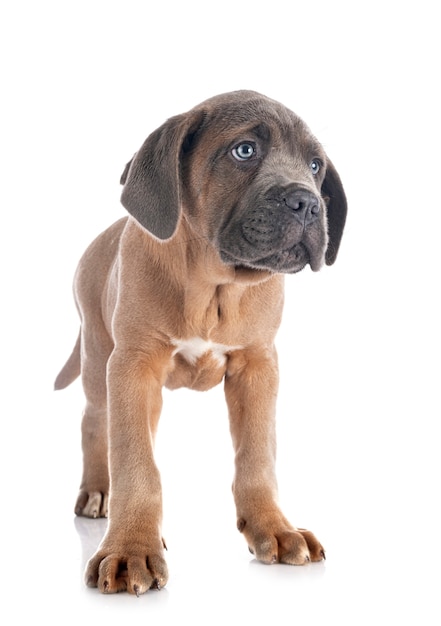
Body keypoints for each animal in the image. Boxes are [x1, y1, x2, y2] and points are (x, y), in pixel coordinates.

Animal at [55, 90, 346, 592]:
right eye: (244, 150)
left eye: (315, 166)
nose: (309, 204)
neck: (213, 285)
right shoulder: (132, 364)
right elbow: (135, 463)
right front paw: (130, 549)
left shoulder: (257, 367)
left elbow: (257, 457)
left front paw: (275, 528)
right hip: (98, 357)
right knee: (97, 422)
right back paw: (98, 491)